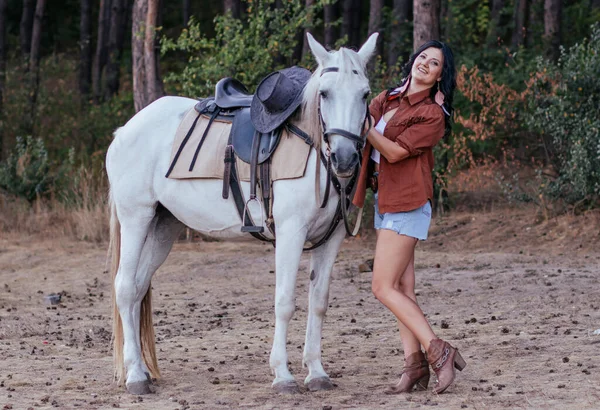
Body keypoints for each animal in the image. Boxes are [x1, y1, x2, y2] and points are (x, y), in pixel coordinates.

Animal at [106, 33, 378, 396]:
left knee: (137, 289)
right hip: (136, 218)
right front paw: (283, 375)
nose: (345, 159)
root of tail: (124, 130)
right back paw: (135, 376)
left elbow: (318, 302)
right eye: (324, 93)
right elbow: (285, 302)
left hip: (163, 227)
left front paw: (317, 372)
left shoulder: (331, 239)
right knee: (124, 288)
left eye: (365, 94)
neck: (311, 149)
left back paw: (141, 371)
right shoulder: (291, 234)